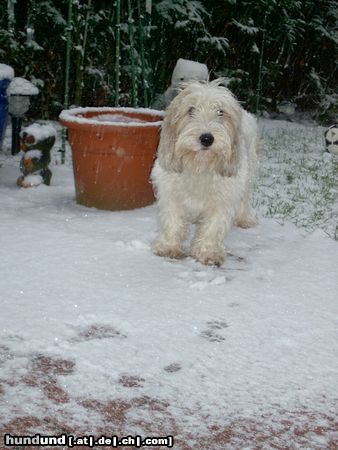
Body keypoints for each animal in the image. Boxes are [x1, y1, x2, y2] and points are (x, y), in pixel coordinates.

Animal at [151, 78, 258, 266]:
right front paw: (169, 247)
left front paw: (208, 252)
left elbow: (213, 227)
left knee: (246, 196)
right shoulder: (171, 193)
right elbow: (173, 221)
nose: (207, 138)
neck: (200, 166)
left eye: (221, 112)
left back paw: (245, 218)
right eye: (190, 110)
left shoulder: (223, 199)